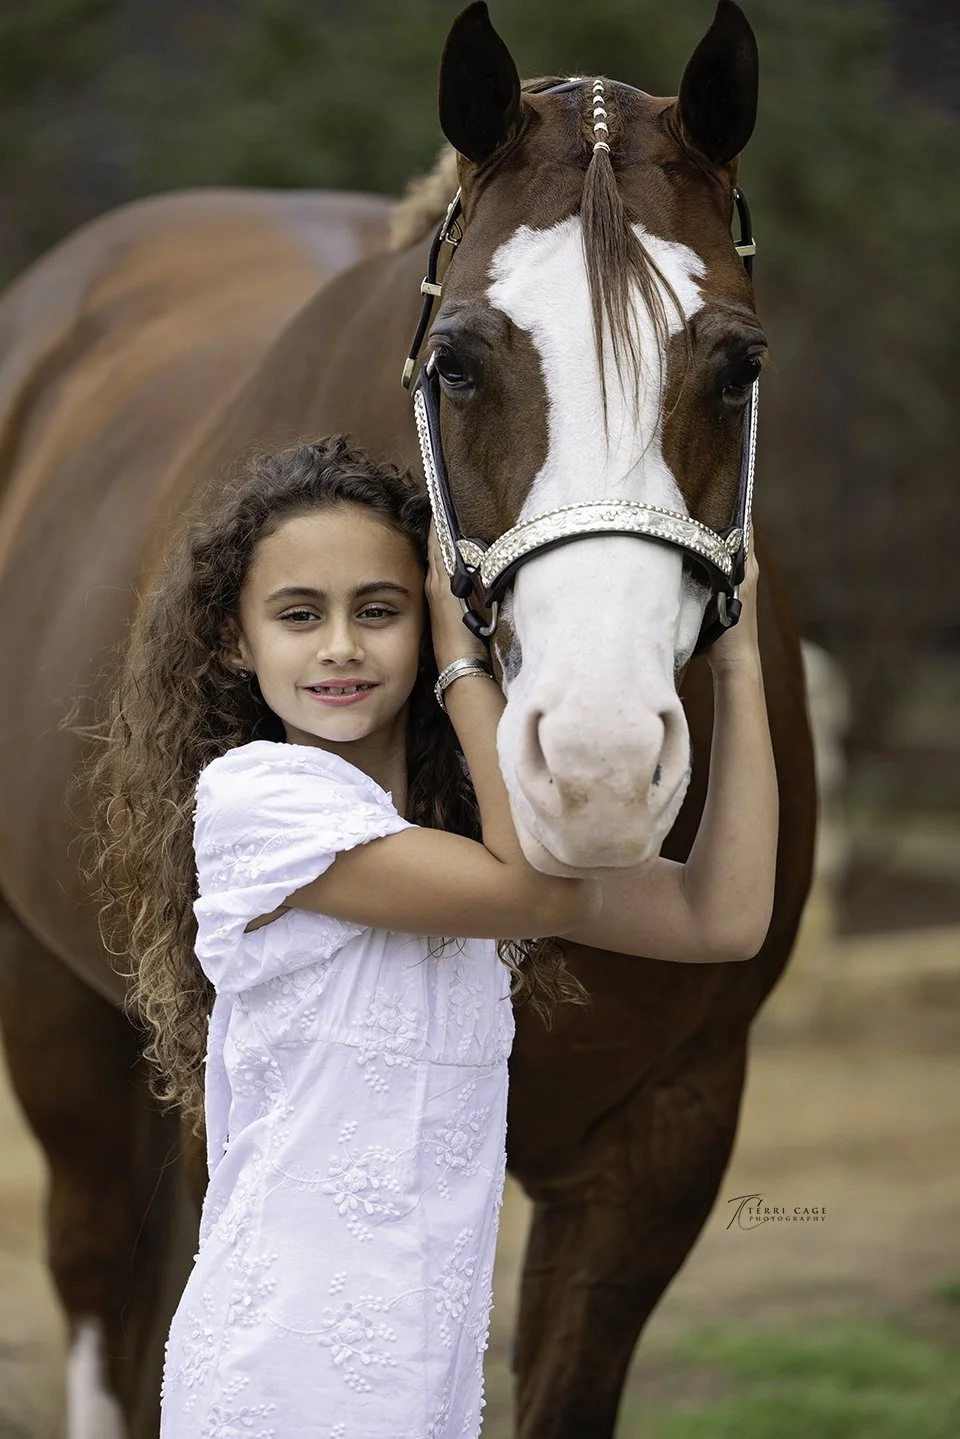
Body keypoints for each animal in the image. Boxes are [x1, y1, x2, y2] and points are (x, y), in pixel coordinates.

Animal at [0, 3, 816, 1435]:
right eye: (460, 364)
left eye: (739, 366)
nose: (598, 771)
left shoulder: (659, 1149)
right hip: (54, 1008)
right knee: (104, 1294)